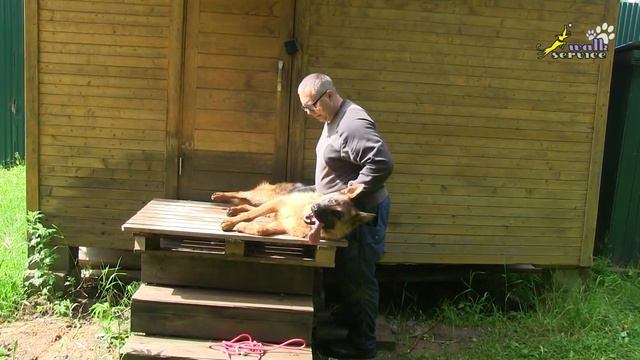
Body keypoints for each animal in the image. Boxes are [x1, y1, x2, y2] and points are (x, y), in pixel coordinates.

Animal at [210, 181, 376, 243]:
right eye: (331, 201)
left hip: (268, 205)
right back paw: (219, 196)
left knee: (248, 205)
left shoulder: (281, 223)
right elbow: (250, 215)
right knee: (242, 194)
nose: (316, 208)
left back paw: (235, 209)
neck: (300, 214)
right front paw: (232, 223)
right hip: (265, 198)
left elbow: (261, 230)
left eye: (337, 214)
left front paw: (241, 226)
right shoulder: (277, 203)